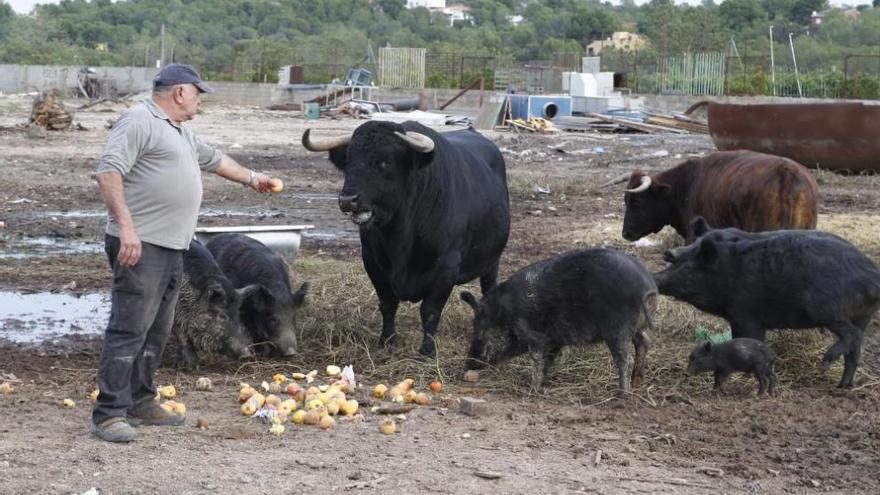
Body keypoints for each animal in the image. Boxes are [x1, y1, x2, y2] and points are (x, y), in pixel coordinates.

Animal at [302, 121, 508, 358]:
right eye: (348, 160)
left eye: (386, 161)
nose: (347, 200)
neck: (400, 235)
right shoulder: (372, 261)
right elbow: (388, 304)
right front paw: (387, 341)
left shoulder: (447, 267)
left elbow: (430, 311)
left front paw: (427, 351)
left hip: (492, 262)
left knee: (489, 288)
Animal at [460, 250, 652, 398]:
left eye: (478, 332)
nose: (467, 364)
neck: (503, 314)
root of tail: (647, 284)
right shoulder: (554, 340)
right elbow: (547, 360)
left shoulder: (532, 335)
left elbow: (536, 358)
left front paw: (532, 389)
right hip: (636, 327)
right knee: (644, 341)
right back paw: (637, 383)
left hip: (617, 328)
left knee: (625, 358)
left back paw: (621, 395)